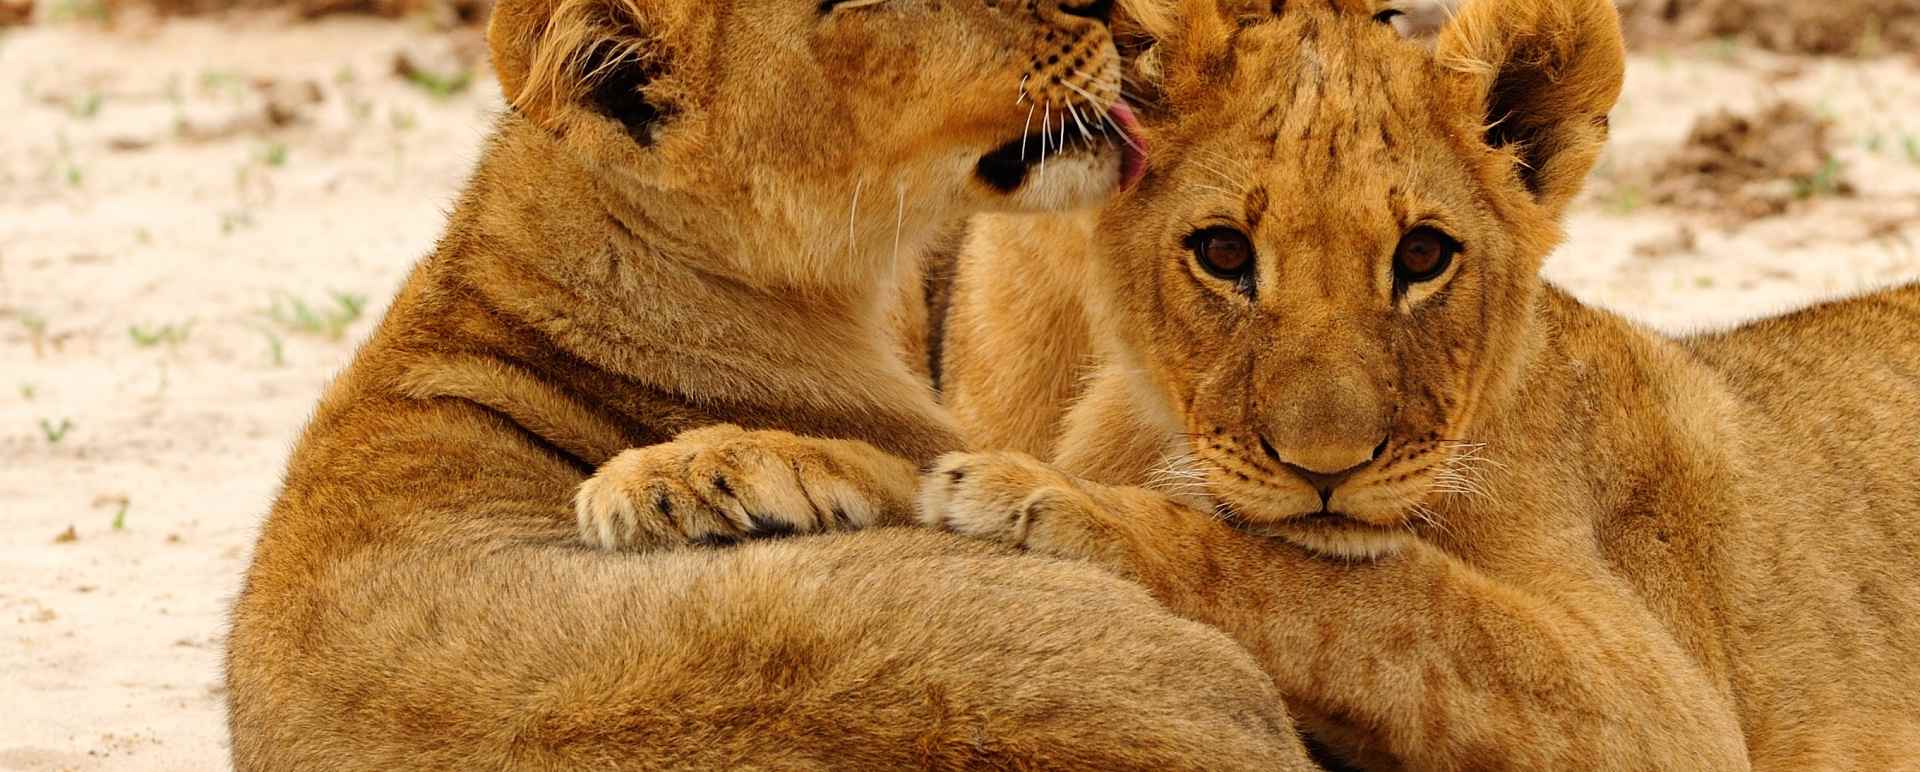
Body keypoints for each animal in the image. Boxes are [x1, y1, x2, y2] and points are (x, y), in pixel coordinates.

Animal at [918, 0, 1920, 767]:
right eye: (1225, 253)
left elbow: (1382, 599)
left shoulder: (1670, 712)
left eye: (1424, 256)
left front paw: (1042, 501)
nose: (1327, 467)